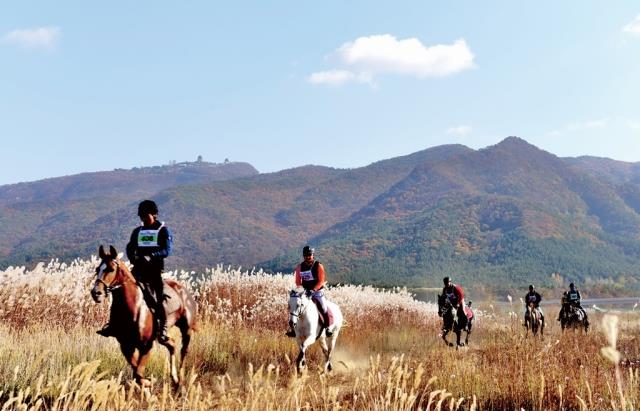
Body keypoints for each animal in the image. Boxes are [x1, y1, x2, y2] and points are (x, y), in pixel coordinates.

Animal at [89, 246, 195, 388]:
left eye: (111, 269)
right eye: (97, 269)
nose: (96, 293)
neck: (132, 307)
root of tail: (182, 289)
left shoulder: (146, 346)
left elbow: (138, 373)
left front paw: (150, 382)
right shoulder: (126, 346)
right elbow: (136, 373)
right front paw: (147, 383)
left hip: (186, 328)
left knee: (184, 351)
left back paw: (181, 381)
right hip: (162, 336)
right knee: (172, 344)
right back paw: (175, 379)